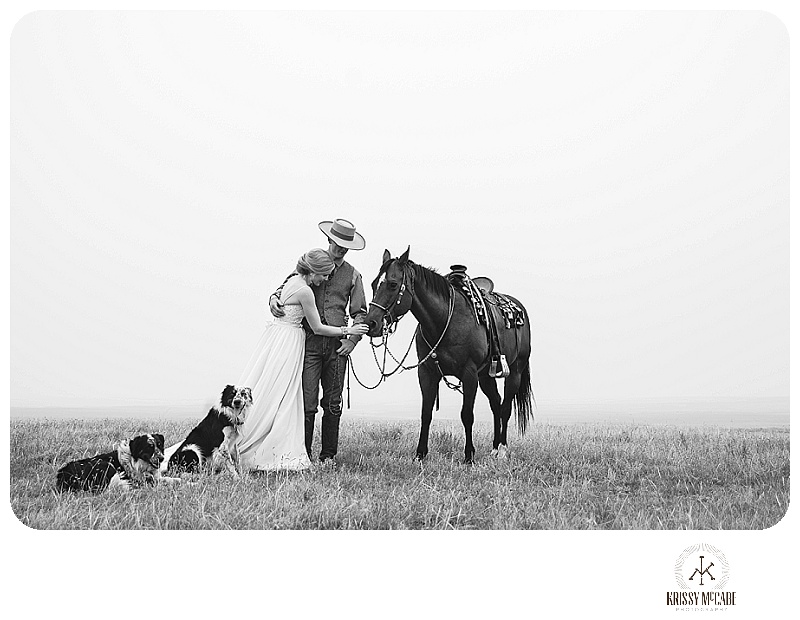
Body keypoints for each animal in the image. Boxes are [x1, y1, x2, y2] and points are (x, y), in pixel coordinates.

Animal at [366, 248, 536, 464]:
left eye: (393, 284)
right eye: (374, 284)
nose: (371, 323)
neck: (445, 320)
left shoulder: (469, 374)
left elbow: (467, 415)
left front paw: (469, 456)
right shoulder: (427, 373)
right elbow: (426, 413)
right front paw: (420, 454)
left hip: (515, 371)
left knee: (505, 408)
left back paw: (502, 450)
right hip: (485, 377)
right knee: (496, 404)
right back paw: (494, 447)